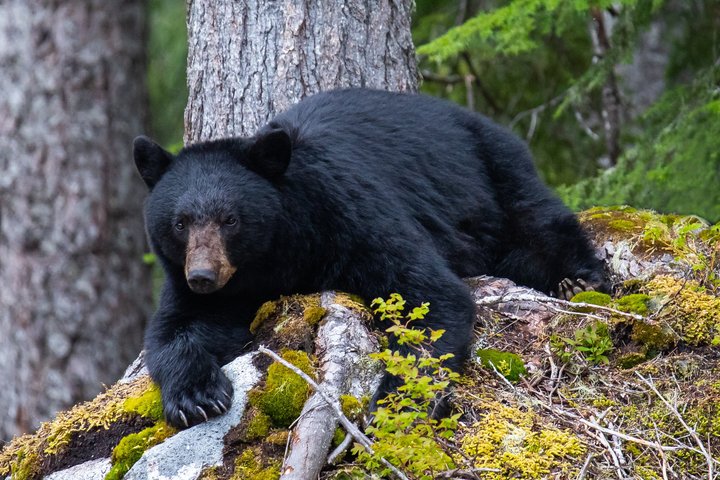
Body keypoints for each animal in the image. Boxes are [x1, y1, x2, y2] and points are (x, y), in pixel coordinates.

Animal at [133, 88, 608, 428]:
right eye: (180, 222)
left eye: (230, 218)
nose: (203, 276)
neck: (279, 251)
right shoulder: (221, 283)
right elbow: (175, 327)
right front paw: (197, 396)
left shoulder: (348, 213)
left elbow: (426, 293)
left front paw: (395, 402)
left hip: (491, 165)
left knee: (536, 216)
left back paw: (579, 280)